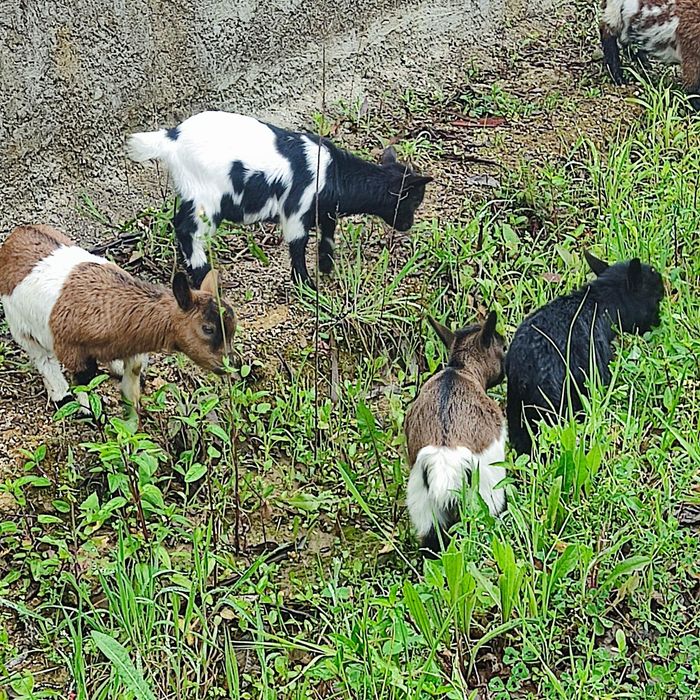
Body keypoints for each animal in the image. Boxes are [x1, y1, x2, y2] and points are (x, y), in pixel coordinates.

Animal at [0, 224, 236, 411]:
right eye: (208, 328)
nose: (229, 366)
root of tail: (16, 234)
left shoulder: (132, 342)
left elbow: (135, 368)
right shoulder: (72, 350)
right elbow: (85, 380)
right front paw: (90, 412)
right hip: (18, 323)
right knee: (42, 358)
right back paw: (61, 396)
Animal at [126, 111, 433, 288]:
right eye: (414, 200)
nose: (407, 226)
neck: (333, 173)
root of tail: (170, 138)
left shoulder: (325, 211)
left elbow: (328, 235)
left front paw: (326, 269)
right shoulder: (297, 210)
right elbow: (298, 244)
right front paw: (306, 285)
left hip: (190, 193)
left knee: (178, 223)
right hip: (206, 198)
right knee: (188, 230)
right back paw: (203, 276)